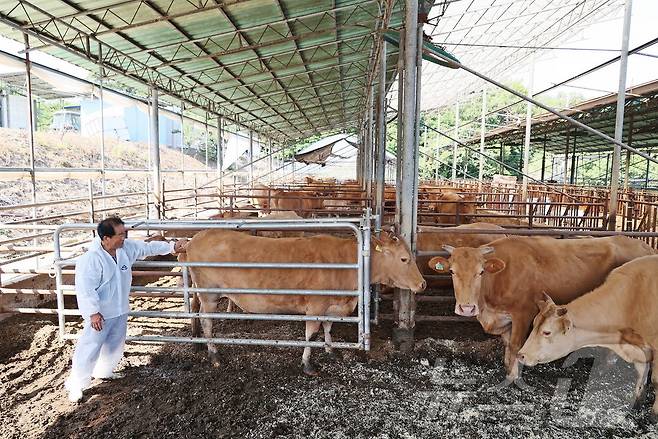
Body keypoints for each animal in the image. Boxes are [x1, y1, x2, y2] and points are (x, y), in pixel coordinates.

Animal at [183, 230, 426, 374]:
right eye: (404, 258)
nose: (422, 284)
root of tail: (197, 237)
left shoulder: (331, 306)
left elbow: (328, 328)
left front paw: (331, 351)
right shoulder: (316, 305)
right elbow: (311, 334)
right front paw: (308, 364)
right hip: (209, 295)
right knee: (207, 321)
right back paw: (214, 355)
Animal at [426, 235, 652, 384]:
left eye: (481, 272)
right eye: (452, 271)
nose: (466, 308)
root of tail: (643, 245)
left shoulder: (522, 314)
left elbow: (515, 345)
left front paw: (513, 376)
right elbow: (507, 344)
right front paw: (507, 366)